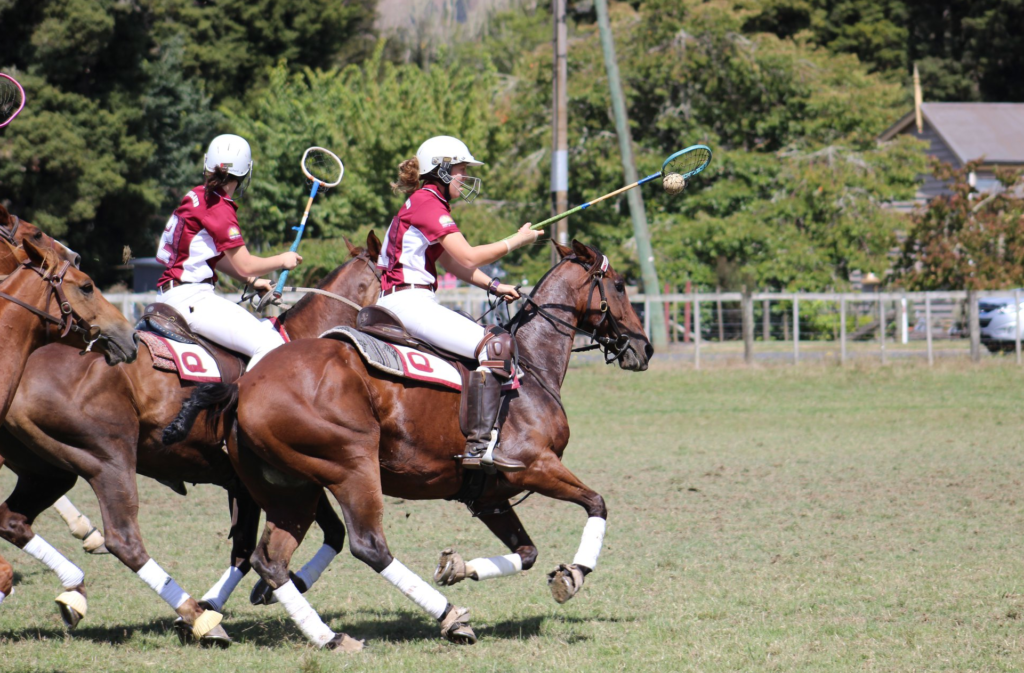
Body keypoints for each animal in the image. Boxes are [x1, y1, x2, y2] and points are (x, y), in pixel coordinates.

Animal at [163, 238, 651, 647]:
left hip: (289, 489)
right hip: (351, 466)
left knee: (269, 558)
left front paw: (458, 567)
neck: (531, 369)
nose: (643, 348)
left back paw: (323, 635)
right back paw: (449, 618)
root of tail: (244, 385)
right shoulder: (533, 464)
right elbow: (597, 503)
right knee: (368, 546)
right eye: (620, 285)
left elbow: (527, 553)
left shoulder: (490, 495)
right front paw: (574, 574)